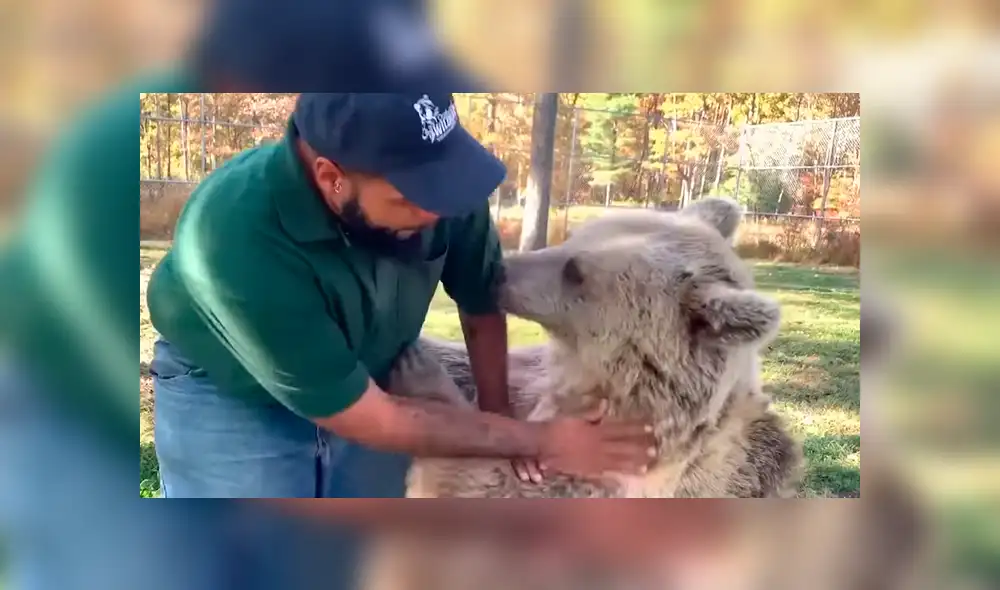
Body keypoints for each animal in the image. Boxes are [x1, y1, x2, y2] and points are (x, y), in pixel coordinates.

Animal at [389, 196, 803, 498]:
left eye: (575, 271)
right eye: (576, 236)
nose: (498, 272)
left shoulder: (617, 464)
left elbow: (480, 477)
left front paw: (421, 374)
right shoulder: (536, 379)